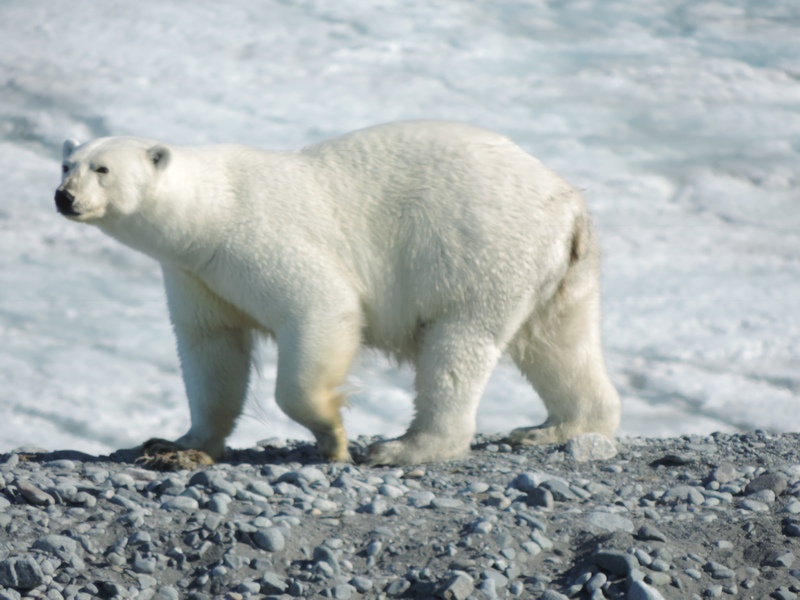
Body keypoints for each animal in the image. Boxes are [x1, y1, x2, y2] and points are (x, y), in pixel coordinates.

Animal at [56, 122, 620, 466]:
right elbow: (211, 348)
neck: (209, 210)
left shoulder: (253, 237)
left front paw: (333, 435)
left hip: (482, 251)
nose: (64, 197)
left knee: (458, 345)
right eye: (68, 164)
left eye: (102, 169)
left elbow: (320, 306)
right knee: (559, 343)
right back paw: (557, 427)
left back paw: (404, 447)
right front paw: (176, 442)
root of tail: (570, 203)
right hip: (558, 270)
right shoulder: (197, 274)